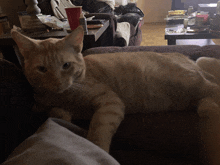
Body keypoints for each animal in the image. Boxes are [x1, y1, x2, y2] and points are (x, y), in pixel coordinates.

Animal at [11, 25, 220, 164]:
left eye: (66, 65)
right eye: (42, 69)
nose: (56, 83)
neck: (64, 95)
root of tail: (188, 60)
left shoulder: (110, 102)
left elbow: (98, 130)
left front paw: (97, 149)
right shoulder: (50, 106)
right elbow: (55, 112)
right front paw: (61, 113)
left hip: (189, 81)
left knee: (213, 89)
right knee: (208, 103)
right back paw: (209, 112)